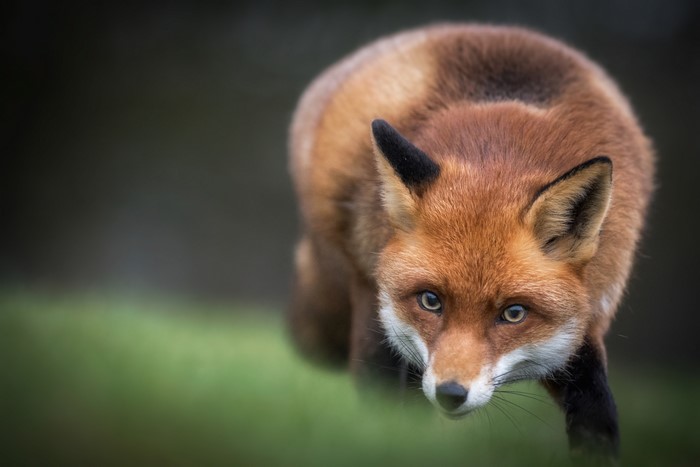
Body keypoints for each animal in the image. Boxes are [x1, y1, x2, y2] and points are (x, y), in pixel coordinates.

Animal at [287, 23, 654, 460]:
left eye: (514, 313)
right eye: (430, 301)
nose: (450, 393)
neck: (503, 145)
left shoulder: (582, 324)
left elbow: (596, 405)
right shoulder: (378, 320)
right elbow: (381, 402)